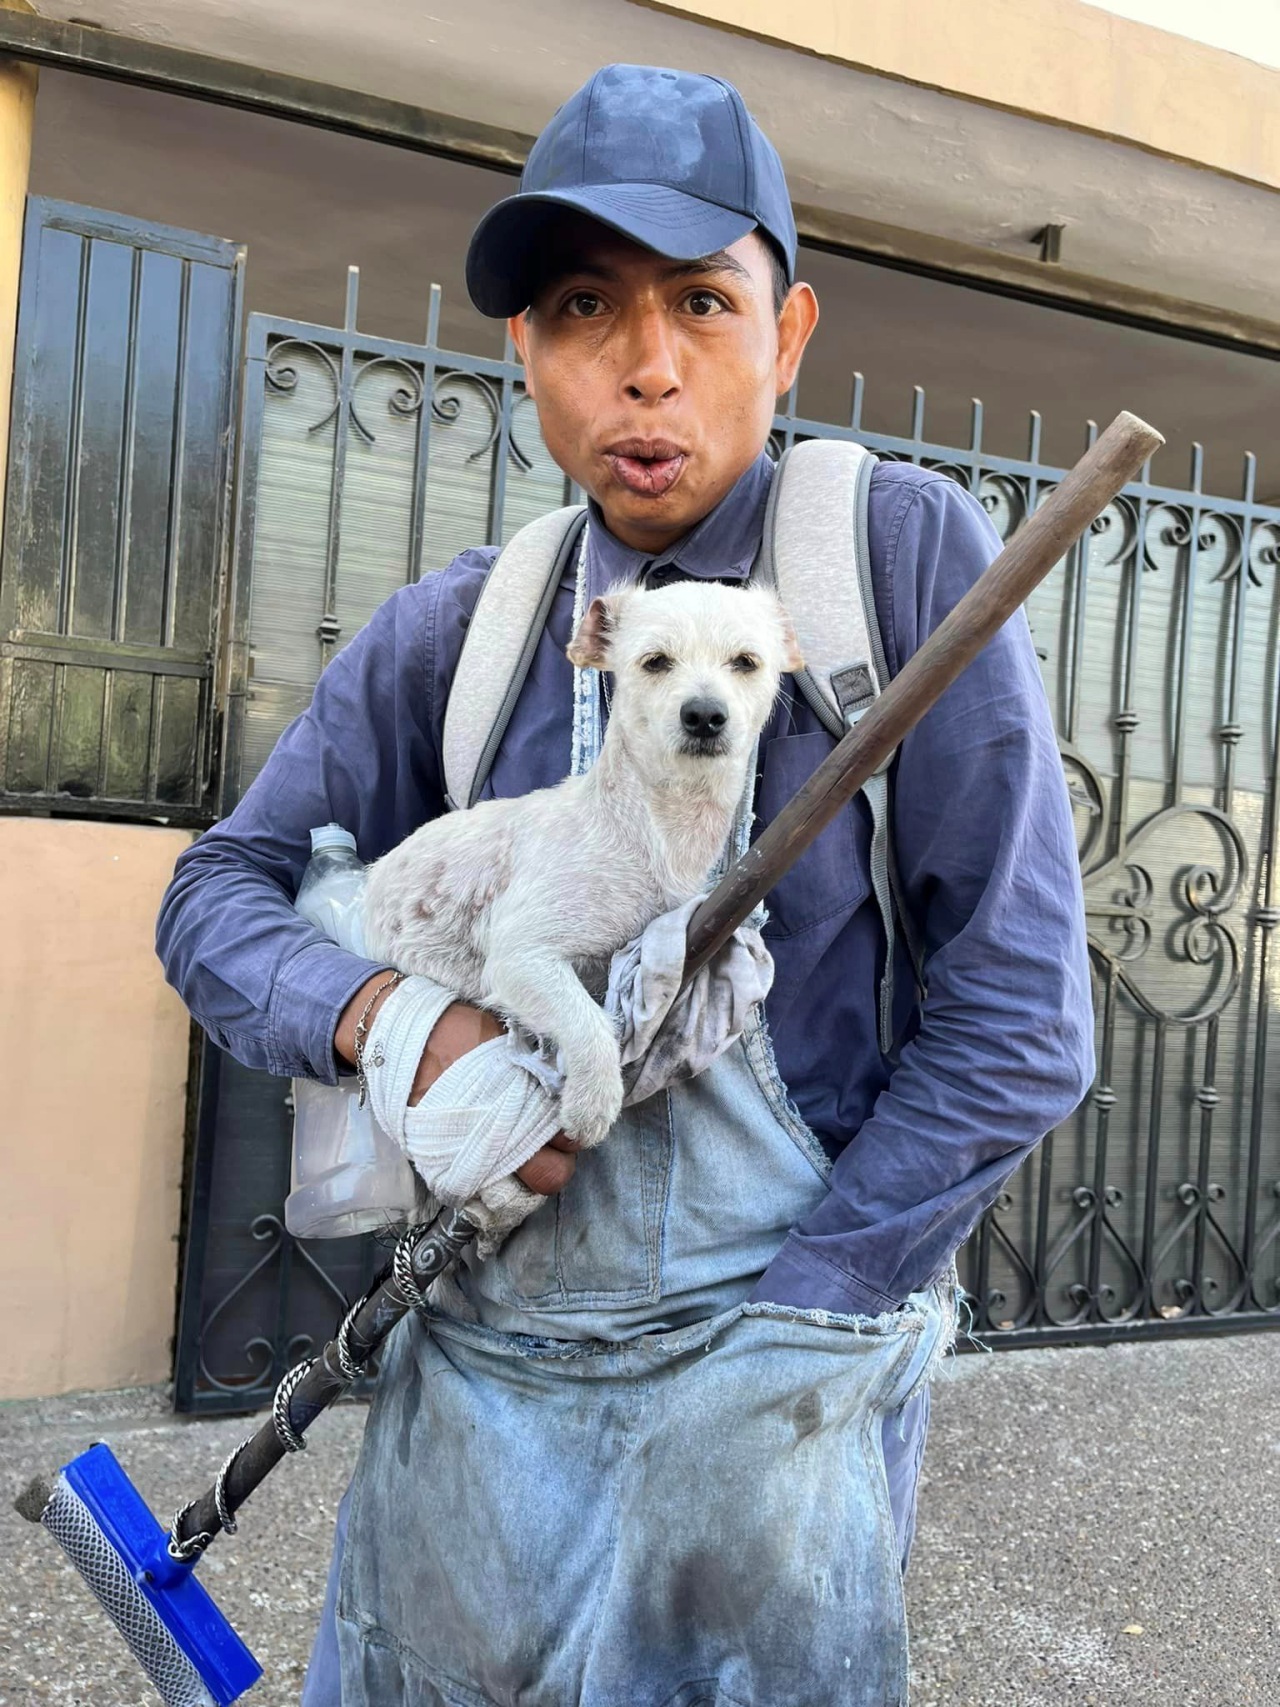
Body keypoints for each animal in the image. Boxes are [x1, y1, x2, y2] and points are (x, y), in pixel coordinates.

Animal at [363, 580, 802, 1153]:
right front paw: (592, 1105)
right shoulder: (521, 956)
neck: (657, 830)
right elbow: (588, 1021)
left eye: (746, 662)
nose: (704, 714)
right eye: (655, 662)